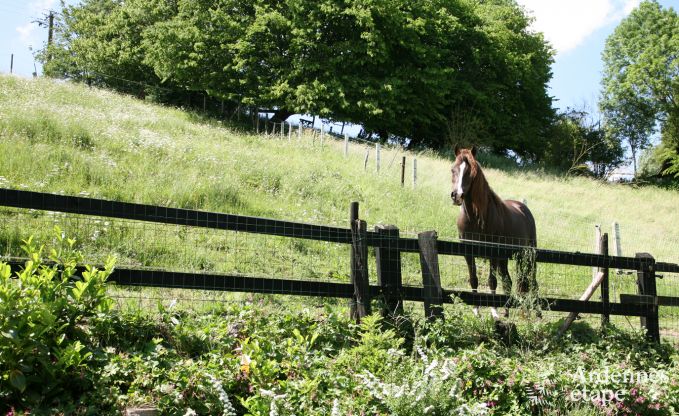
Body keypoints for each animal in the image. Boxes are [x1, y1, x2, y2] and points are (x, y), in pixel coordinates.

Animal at [448, 145, 540, 316]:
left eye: (471, 172)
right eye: (453, 169)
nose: (457, 196)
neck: (476, 219)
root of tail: (523, 208)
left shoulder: (492, 253)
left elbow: (492, 281)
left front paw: (493, 311)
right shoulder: (468, 253)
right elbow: (474, 279)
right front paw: (476, 310)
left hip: (527, 255)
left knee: (532, 280)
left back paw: (537, 313)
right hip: (506, 258)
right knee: (509, 281)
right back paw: (507, 310)